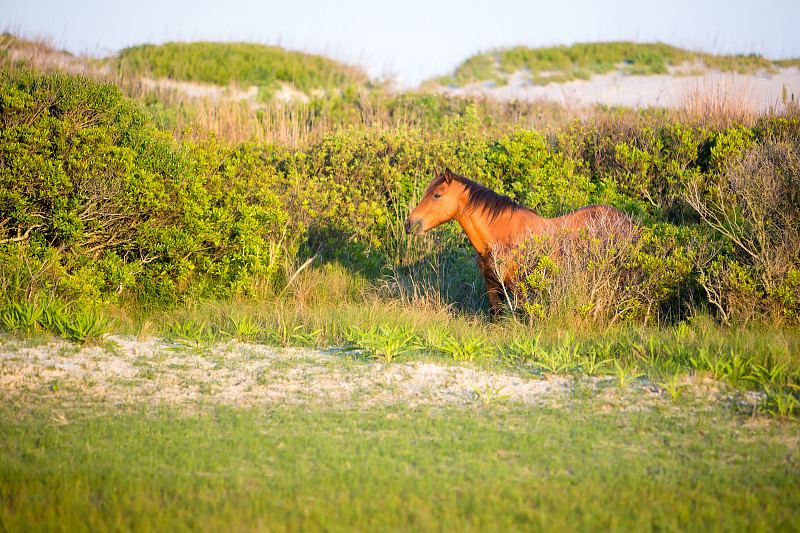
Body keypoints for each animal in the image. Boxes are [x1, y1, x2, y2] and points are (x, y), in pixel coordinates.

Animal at [406, 168, 636, 314]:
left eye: (437, 195)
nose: (409, 223)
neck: (500, 236)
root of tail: (626, 221)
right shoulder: (492, 286)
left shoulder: (520, 287)